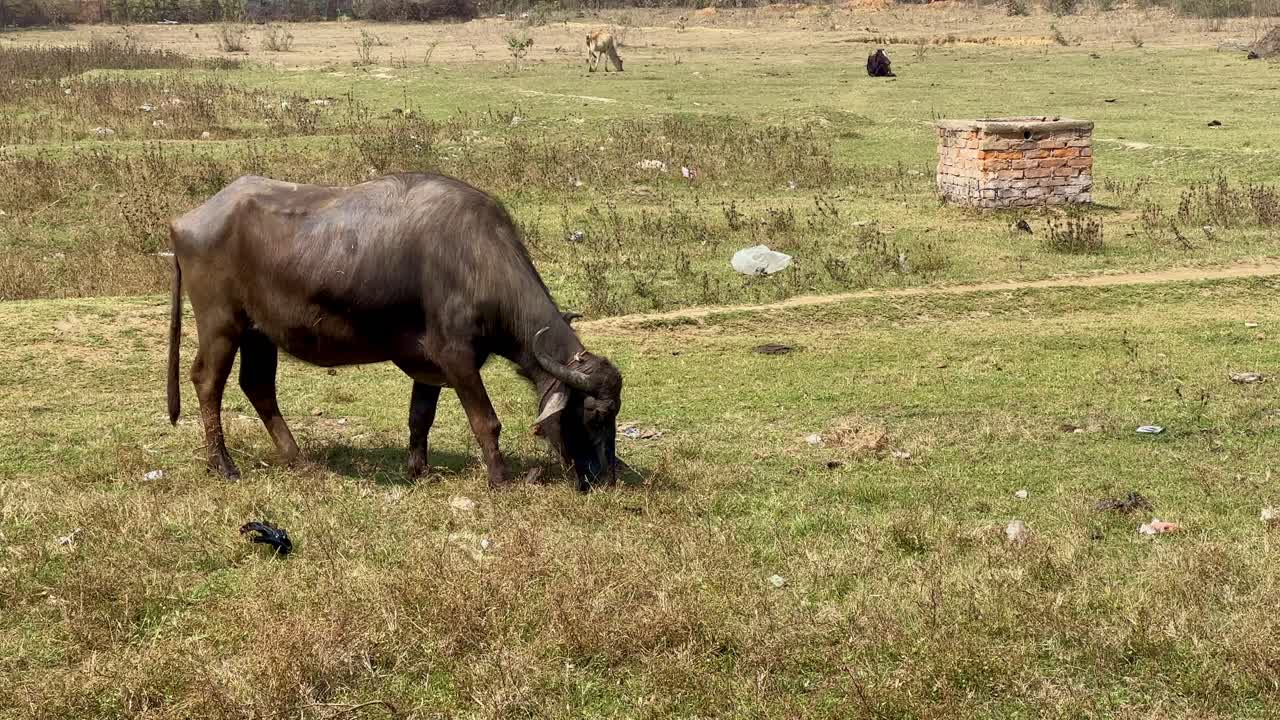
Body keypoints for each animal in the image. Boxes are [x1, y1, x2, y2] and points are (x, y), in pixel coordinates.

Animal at [167, 172, 624, 491]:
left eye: (616, 413)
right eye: (594, 414)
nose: (606, 477)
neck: (477, 261)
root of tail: (185, 220)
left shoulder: (430, 364)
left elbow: (420, 417)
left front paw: (419, 469)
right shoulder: (457, 357)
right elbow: (485, 421)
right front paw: (500, 478)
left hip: (259, 332)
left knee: (258, 386)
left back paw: (298, 458)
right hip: (221, 323)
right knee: (207, 381)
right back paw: (224, 464)